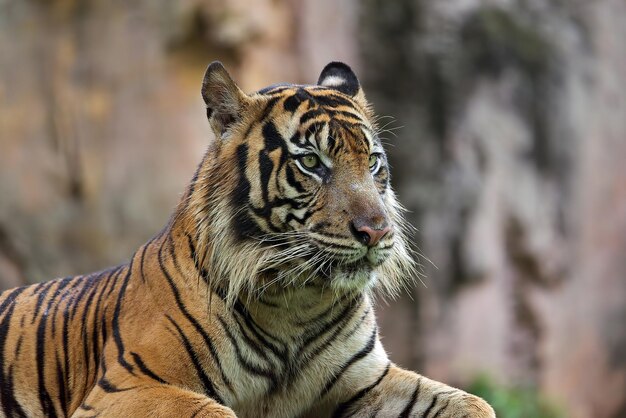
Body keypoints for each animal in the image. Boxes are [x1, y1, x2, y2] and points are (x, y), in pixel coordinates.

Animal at [0, 60, 494, 416]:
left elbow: (475, 403)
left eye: (372, 161)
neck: (296, 301)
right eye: (311, 162)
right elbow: (214, 412)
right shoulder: (128, 386)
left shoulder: (368, 382)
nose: (377, 231)